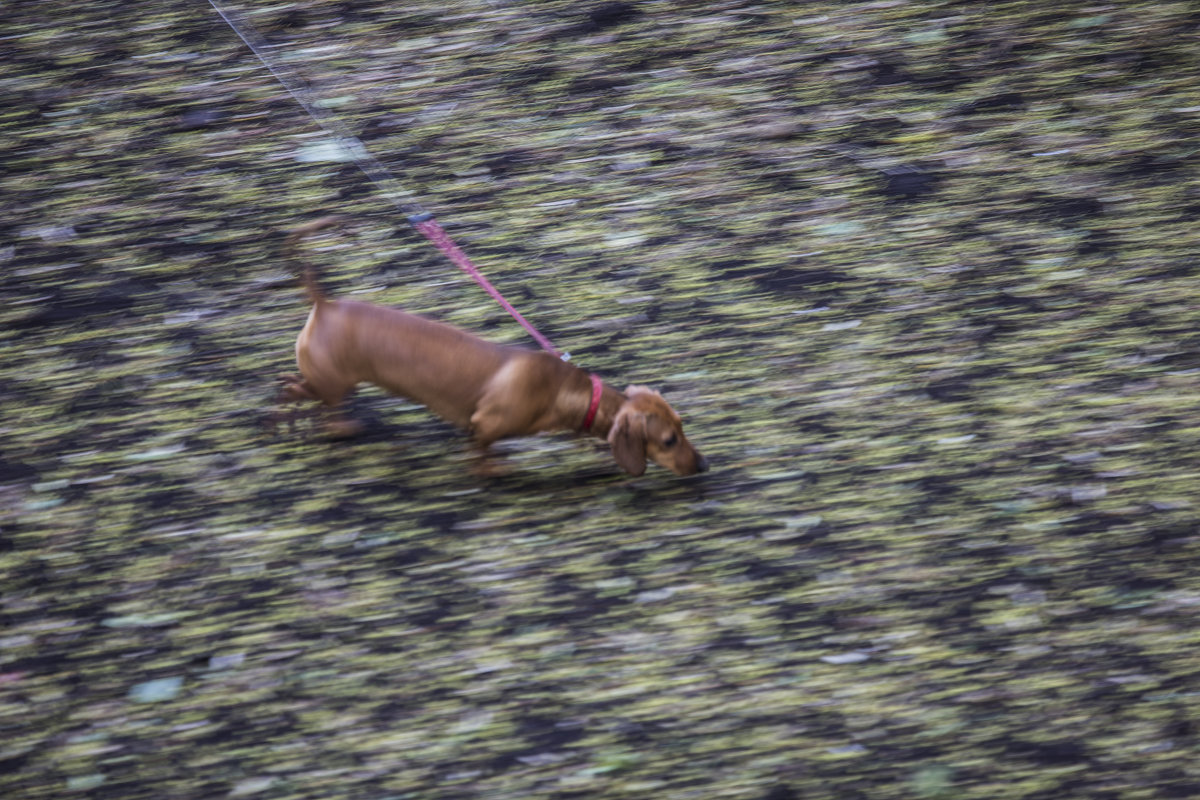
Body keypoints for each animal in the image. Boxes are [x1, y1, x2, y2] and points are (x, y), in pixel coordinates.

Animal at [274, 217, 700, 474]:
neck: (563, 389)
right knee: (303, 393)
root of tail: (324, 303)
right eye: (668, 440)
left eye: (683, 427)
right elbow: (483, 453)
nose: (704, 465)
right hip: (332, 383)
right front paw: (491, 470)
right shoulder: (482, 425)